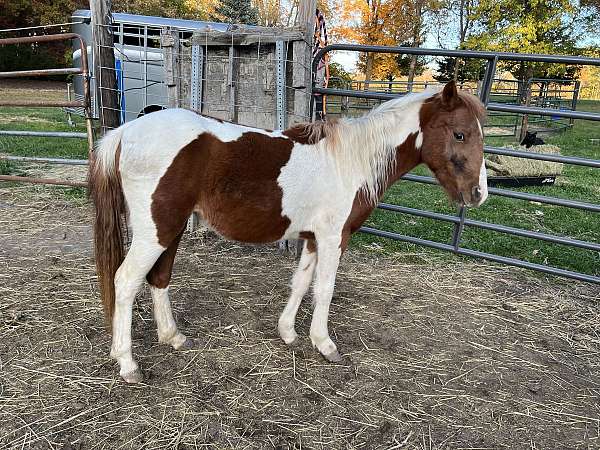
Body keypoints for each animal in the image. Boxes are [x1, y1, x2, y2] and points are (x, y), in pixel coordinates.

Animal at [89, 81, 488, 384]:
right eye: (460, 133)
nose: (478, 194)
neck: (350, 162)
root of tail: (125, 132)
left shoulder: (312, 238)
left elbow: (300, 283)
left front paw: (288, 333)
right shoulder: (333, 238)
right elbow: (324, 290)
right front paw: (324, 344)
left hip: (169, 229)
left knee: (159, 277)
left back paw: (172, 337)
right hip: (156, 231)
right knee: (125, 280)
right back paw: (128, 364)